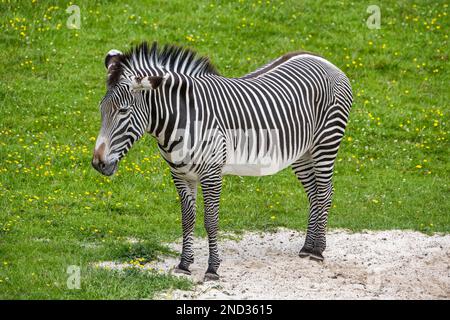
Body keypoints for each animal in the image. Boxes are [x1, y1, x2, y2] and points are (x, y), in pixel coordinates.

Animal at [91, 42, 352, 280]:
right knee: (314, 193)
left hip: (326, 142)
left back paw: (317, 251)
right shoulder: (180, 175)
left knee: (325, 192)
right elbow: (187, 219)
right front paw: (184, 264)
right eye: (101, 109)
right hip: (301, 152)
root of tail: (323, 60)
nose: (97, 163)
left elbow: (211, 221)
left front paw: (212, 269)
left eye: (123, 111)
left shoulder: (211, 173)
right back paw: (308, 247)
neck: (182, 120)